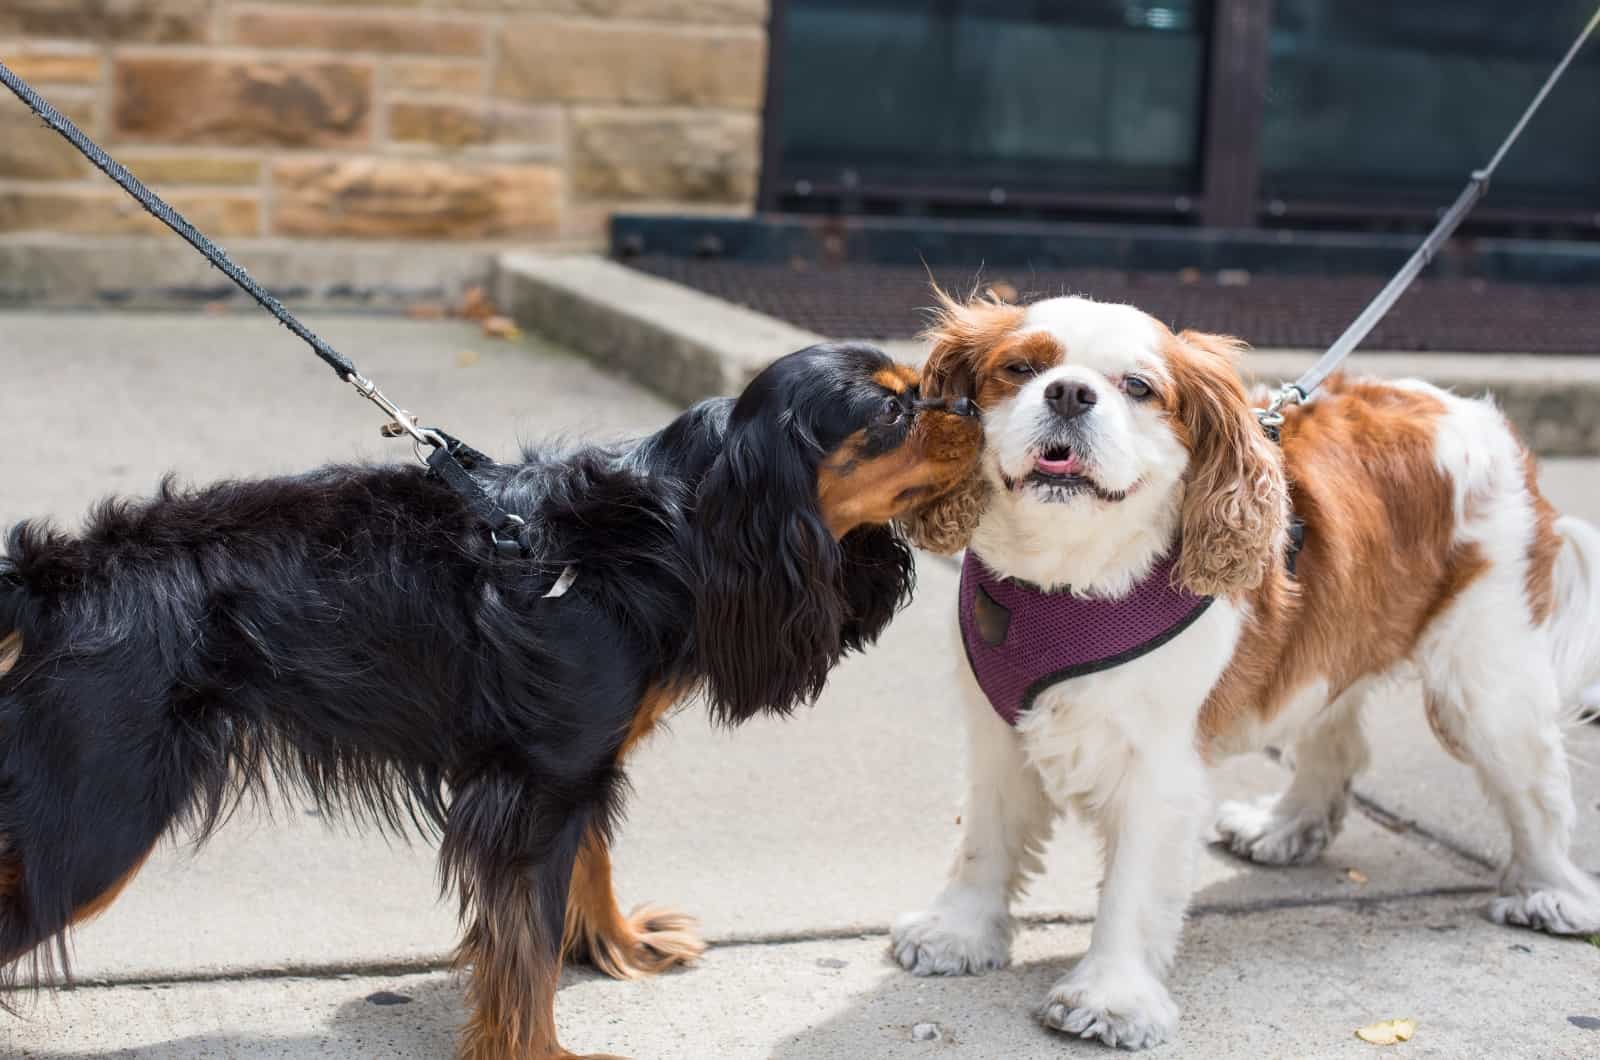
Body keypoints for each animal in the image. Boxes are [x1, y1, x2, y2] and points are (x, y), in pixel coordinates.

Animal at [0, 344, 979, 1056]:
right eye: (893, 410)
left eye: (925, 388)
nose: (970, 405)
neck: (675, 528)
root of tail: (55, 580)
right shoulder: (539, 785)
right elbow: (526, 947)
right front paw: (543, 1053)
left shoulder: (574, 765)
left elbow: (585, 873)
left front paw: (619, 946)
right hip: (99, 821)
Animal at [889, 293, 1600, 1056]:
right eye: (1019, 369)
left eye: (1138, 387)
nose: (1070, 393)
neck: (1064, 580)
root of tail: (1490, 424)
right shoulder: (998, 730)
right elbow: (983, 840)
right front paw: (957, 933)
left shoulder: (1159, 769)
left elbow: (1132, 888)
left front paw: (1110, 998)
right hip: (1337, 636)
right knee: (1337, 739)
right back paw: (1285, 825)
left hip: (1485, 686)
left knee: (1537, 790)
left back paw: (1552, 892)